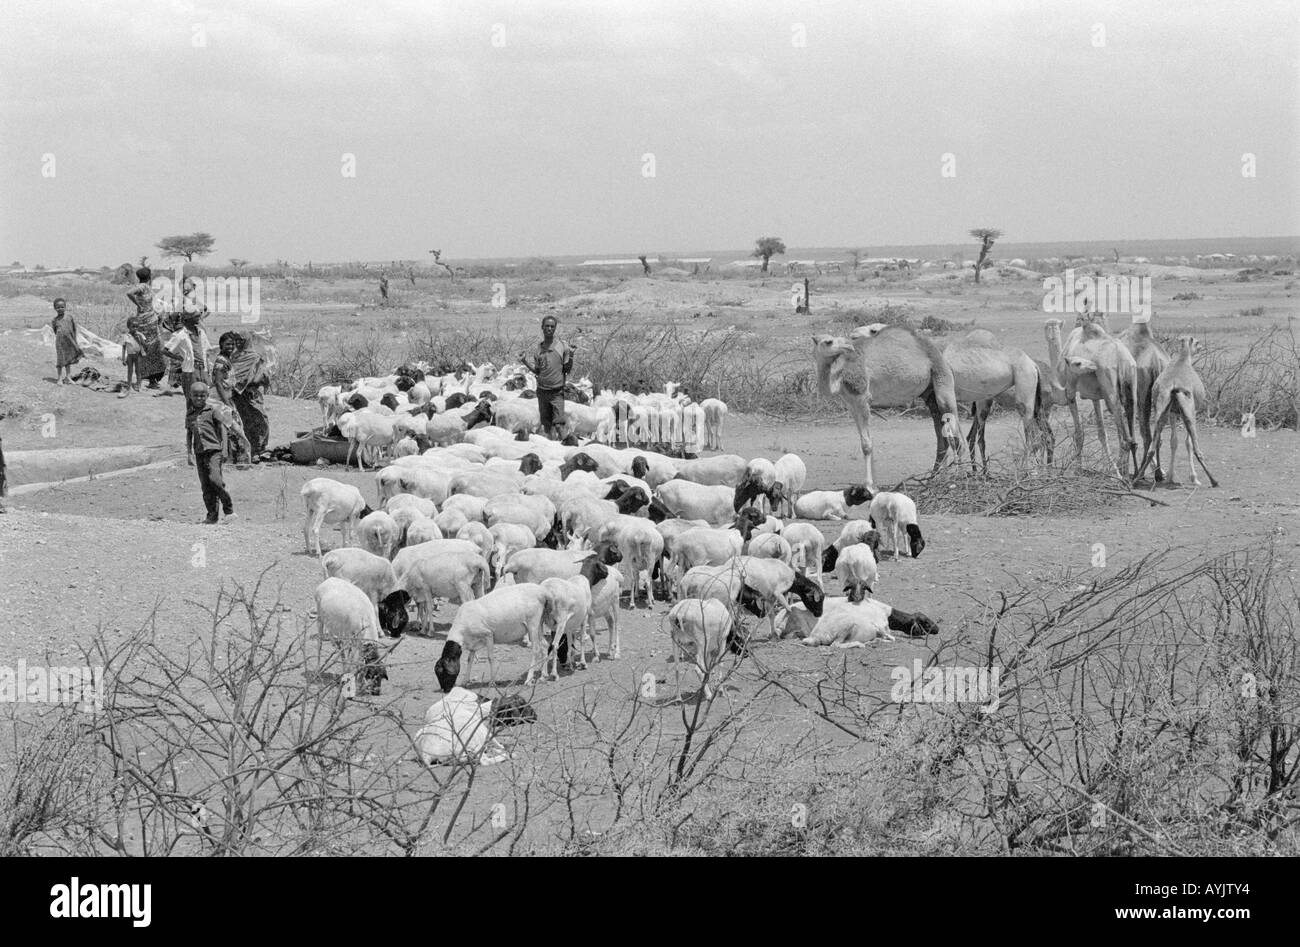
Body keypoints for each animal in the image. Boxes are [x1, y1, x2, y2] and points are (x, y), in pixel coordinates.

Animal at [811, 323, 967, 489]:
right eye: (828, 341)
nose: (848, 344)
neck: (840, 375)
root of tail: (938, 354)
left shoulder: (862, 397)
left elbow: (867, 444)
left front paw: (868, 485)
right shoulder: (851, 404)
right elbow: (866, 441)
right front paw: (873, 485)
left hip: (943, 380)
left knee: (957, 438)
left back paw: (957, 479)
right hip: (929, 393)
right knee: (942, 435)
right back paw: (934, 478)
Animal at [1045, 314, 1138, 476]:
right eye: (1047, 327)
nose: (1050, 335)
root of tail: (1122, 358)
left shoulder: (1070, 390)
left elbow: (1079, 433)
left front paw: (1078, 469)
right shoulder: (1095, 397)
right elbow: (1102, 433)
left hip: (1110, 386)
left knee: (1125, 439)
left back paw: (1122, 475)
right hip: (1131, 383)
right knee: (1134, 435)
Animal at [1128, 335, 1216, 489]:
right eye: (1197, 342)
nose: (1201, 347)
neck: (1183, 360)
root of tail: (1174, 386)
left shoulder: (1173, 413)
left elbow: (1173, 441)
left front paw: (1170, 476)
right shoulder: (1190, 411)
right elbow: (1188, 443)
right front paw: (1193, 477)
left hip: (1159, 410)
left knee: (1152, 443)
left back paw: (1140, 478)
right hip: (1189, 412)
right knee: (1196, 448)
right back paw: (1213, 481)